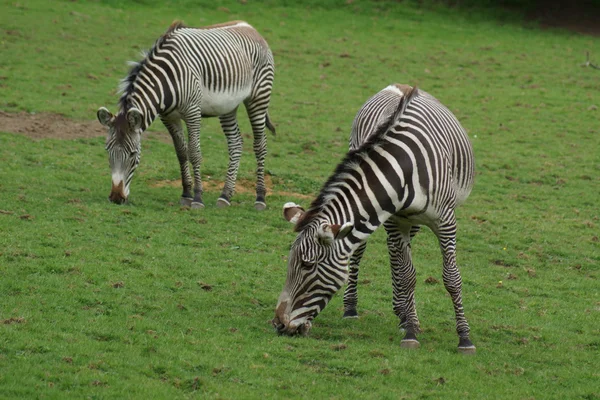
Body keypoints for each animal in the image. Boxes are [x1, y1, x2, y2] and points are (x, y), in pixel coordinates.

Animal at [97, 19, 276, 209]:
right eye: (108, 150)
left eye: (133, 153)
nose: (116, 198)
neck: (165, 82)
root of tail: (250, 26)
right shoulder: (169, 117)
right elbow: (181, 152)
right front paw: (186, 194)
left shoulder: (192, 112)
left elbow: (194, 153)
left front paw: (197, 198)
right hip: (228, 106)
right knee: (236, 143)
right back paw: (225, 196)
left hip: (259, 97)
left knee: (260, 145)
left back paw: (260, 198)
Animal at [274, 85, 478, 354]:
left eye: (307, 265)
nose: (278, 324)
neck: (401, 169)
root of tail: (400, 85)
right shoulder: (396, 219)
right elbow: (408, 275)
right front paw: (411, 332)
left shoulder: (445, 221)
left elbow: (451, 278)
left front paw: (464, 337)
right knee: (376, 253)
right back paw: (360, 309)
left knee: (395, 254)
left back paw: (404, 313)